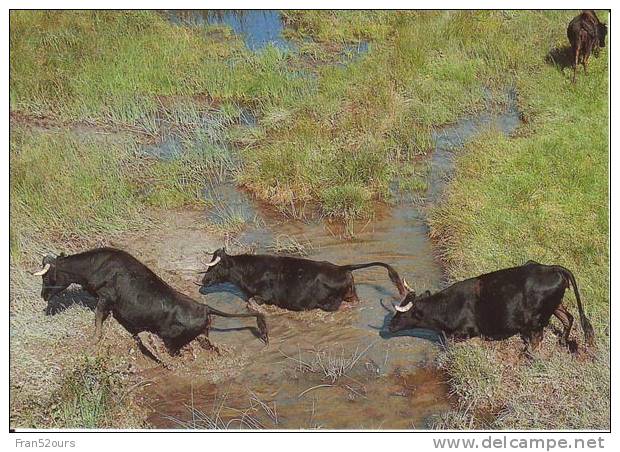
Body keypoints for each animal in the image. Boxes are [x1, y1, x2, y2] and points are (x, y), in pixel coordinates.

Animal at [34, 247, 266, 360]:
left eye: (47, 277)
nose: (43, 296)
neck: (96, 265)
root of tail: (204, 307)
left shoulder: (105, 297)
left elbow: (98, 318)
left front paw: (94, 339)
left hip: (173, 343)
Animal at [200, 247, 412, 310]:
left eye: (216, 266)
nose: (203, 281)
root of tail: (341, 267)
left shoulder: (265, 297)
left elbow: (252, 302)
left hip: (329, 302)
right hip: (351, 294)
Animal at [388, 264, 596, 354]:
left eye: (403, 313)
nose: (389, 327)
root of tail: (552, 268)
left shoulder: (464, 332)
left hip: (537, 318)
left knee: (538, 337)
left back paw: (530, 355)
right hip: (555, 306)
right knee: (568, 318)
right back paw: (562, 341)